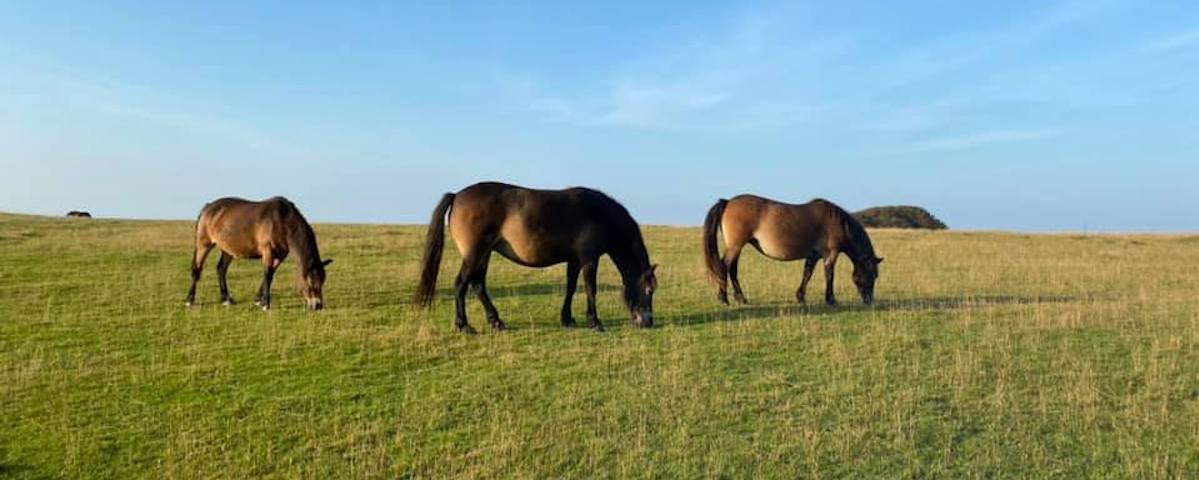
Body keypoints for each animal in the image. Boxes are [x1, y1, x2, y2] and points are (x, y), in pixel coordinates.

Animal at [182, 196, 333, 309]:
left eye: (322, 281)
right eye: (311, 282)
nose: (318, 305)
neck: (281, 220)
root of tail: (208, 207)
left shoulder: (280, 255)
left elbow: (270, 274)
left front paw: (259, 299)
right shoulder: (268, 251)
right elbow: (268, 274)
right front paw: (266, 304)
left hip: (228, 250)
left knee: (221, 269)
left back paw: (226, 299)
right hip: (203, 244)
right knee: (197, 270)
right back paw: (190, 300)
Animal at [412, 182, 657, 331]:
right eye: (648, 290)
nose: (648, 322)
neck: (599, 214)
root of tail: (457, 195)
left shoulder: (575, 260)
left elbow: (571, 287)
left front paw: (567, 318)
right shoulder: (589, 259)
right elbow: (590, 288)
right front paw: (595, 322)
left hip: (485, 254)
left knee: (478, 284)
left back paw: (496, 321)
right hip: (475, 254)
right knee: (461, 283)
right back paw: (464, 325)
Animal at [700, 195, 882, 306]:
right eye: (872, 275)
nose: (870, 301)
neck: (837, 223)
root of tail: (728, 201)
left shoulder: (814, 255)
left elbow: (807, 274)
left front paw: (800, 297)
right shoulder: (830, 254)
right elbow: (829, 275)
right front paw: (831, 299)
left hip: (737, 247)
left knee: (732, 270)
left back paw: (740, 298)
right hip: (735, 247)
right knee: (724, 267)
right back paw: (723, 298)